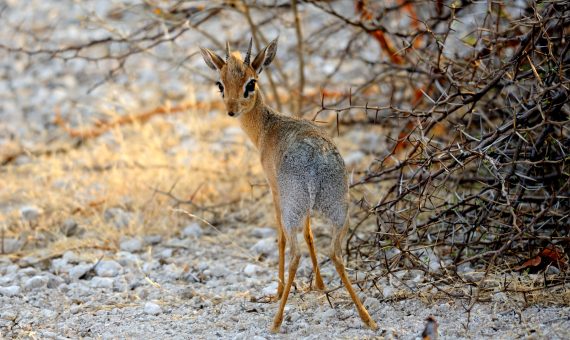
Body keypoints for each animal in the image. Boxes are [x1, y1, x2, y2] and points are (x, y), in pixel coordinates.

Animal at [200, 37, 378, 332]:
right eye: (220, 84)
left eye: (251, 83)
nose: (231, 110)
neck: (267, 127)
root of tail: (315, 161)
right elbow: (310, 236)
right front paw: (320, 285)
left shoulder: (274, 190)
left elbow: (280, 239)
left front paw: (279, 289)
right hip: (338, 209)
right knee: (335, 253)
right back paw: (367, 318)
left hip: (292, 209)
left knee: (295, 252)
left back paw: (276, 321)